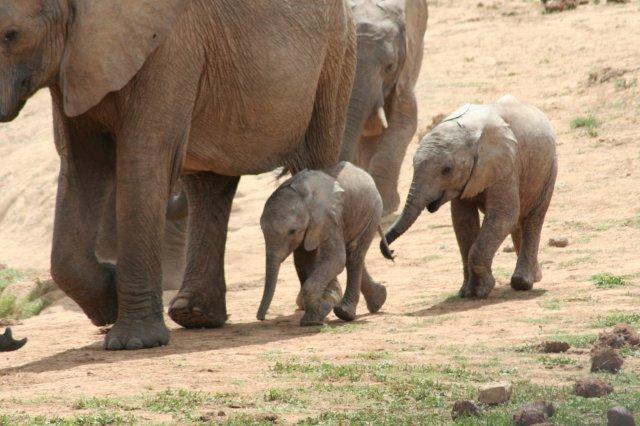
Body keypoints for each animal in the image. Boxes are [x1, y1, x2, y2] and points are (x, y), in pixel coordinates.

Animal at [0, 0, 358, 350]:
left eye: (10, 35)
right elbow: (82, 163)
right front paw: (110, 303)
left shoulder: (167, 51)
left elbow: (143, 159)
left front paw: (134, 341)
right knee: (209, 183)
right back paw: (194, 314)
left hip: (335, 57)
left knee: (315, 153)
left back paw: (320, 303)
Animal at [256, 161, 390, 324]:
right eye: (262, 229)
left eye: (292, 231)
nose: (261, 318)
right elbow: (303, 260)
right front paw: (319, 312)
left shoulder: (327, 218)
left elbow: (336, 259)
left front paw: (313, 319)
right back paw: (378, 300)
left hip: (373, 210)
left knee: (354, 256)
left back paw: (345, 313)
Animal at [384, 95, 556, 298]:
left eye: (447, 170)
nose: (391, 252)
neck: (469, 132)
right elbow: (462, 221)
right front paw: (468, 292)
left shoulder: (506, 166)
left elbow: (503, 216)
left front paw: (480, 291)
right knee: (518, 220)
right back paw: (535, 277)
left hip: (549, 168)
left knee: (533, 218)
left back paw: (523, 283)